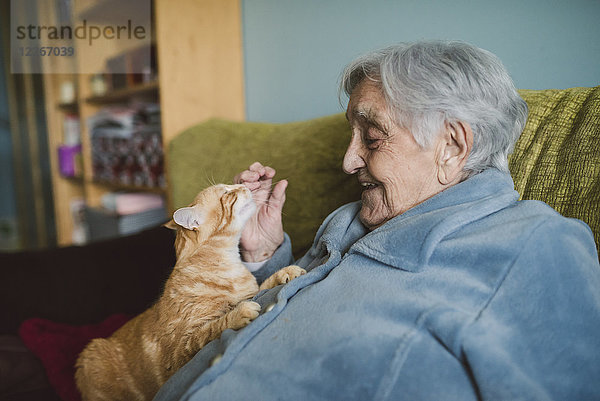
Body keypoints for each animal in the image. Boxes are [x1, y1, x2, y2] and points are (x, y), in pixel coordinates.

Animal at [76, 184, 304, 400]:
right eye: (227, 193)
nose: (246, 186)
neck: (227, 265)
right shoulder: (181, 351)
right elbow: (215, 327)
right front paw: (240, 313)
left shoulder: (250, 291)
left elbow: (264, 285)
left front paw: (286, 272)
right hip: (91, 354)